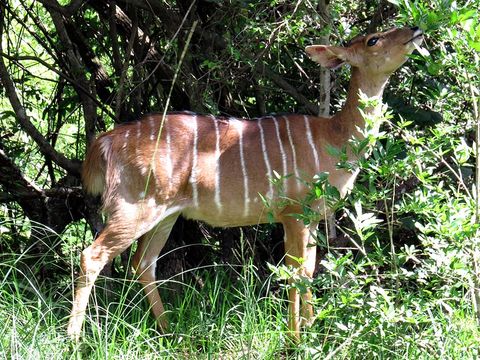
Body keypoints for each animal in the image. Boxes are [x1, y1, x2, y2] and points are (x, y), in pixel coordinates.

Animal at [66, 25, 424, 340]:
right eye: (373, 39)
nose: (415, 29)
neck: (333, 139)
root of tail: (106, 143)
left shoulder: (311, 217)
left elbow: (309, 270)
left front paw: (312, 330)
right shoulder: (293, 212)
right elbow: (294, 272)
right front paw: (295, 339)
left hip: (167, 213)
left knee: (143, 263)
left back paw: (170, 332)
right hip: (134, 206)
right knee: (93, 255)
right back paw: (74, 339)